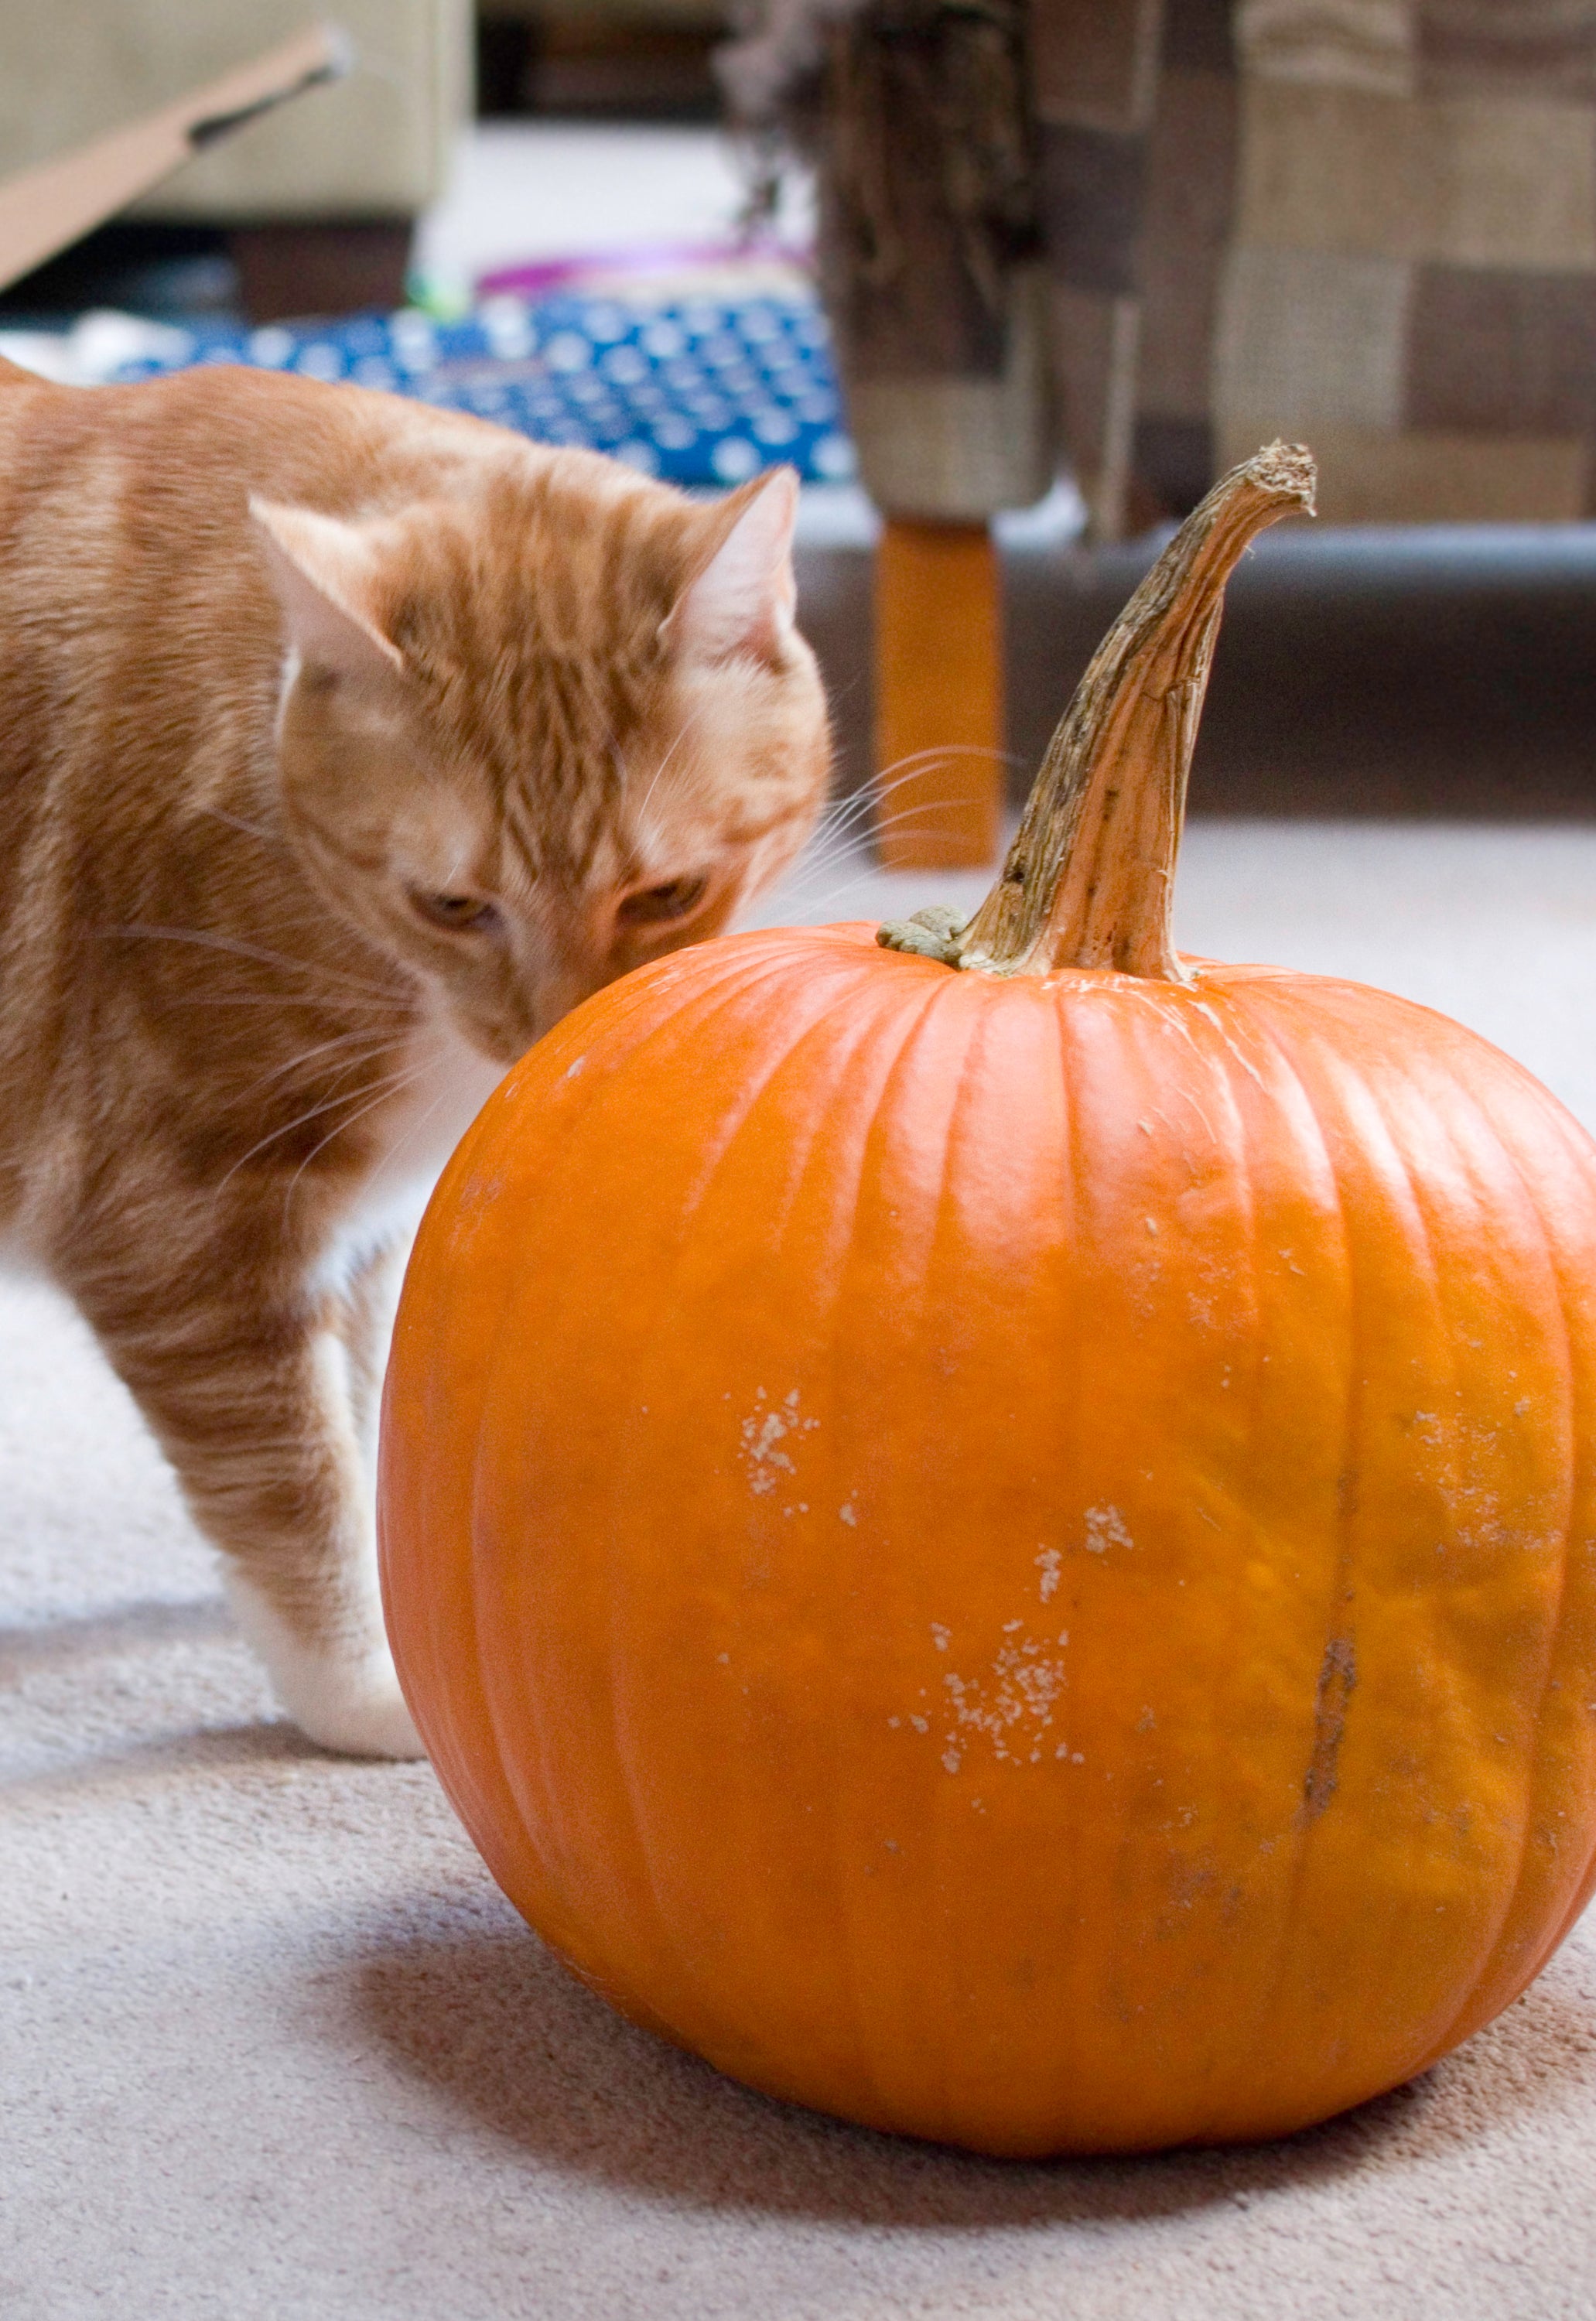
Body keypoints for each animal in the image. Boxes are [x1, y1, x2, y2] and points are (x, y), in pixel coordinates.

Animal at [0, 353, 821, 1745]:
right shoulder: (175, 1233)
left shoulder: (367, 1232)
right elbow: (293, 1486)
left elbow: (379, 1424)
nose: (555, 1029)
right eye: (452, 905)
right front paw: (374, 1691)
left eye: (665, 895)